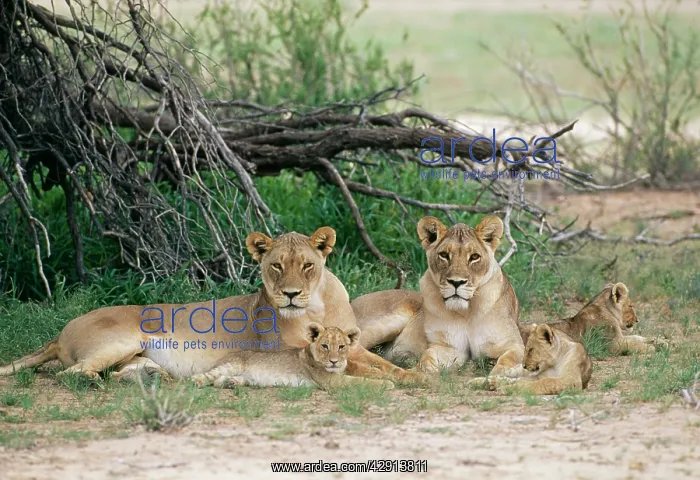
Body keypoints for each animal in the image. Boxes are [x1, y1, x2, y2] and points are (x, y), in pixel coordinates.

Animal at [191, 323, 393, 390]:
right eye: (325, 346)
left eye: (341, 347)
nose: (334, 361)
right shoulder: (333, 382)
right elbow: (361, 381)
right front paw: (388, 384)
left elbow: (368, 372)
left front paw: (385, 376)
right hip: (231, 365)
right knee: (207, 376)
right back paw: (197, 382)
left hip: (245, 377)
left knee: (219, 381)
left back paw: (232, 384)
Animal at [351, 215, 523, 377]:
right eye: (444, 255)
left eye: (474, 257)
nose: (456, 282)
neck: (466, 312)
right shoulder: (447, 346)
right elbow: (428, 356)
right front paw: (420, 370)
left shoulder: (511, 342)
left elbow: (510, 358)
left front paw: (498, 374)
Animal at [518, 283, 658, 355]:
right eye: (631, 306)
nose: (637, 320)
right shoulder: (611, 344)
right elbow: (634, 344)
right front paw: (652, 347)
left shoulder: (619, 337)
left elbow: (636, 338)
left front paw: (657, 340)